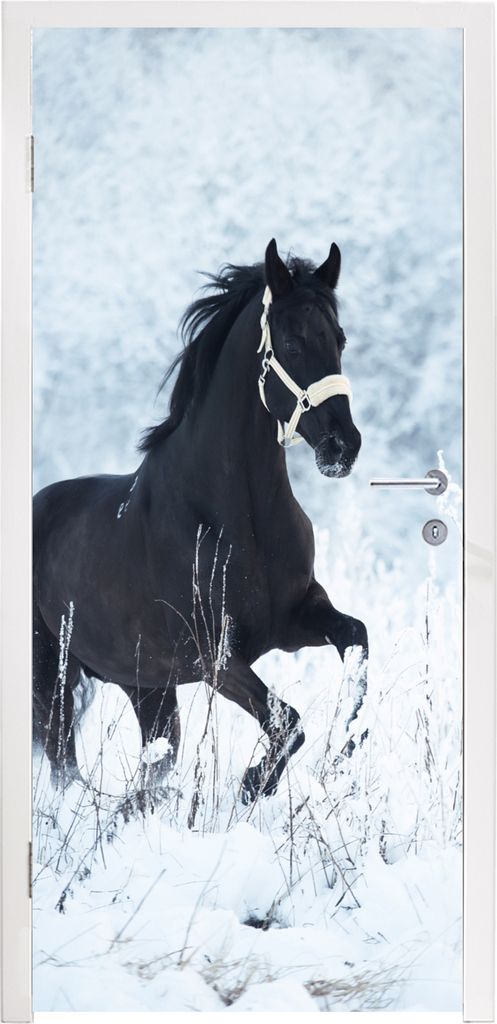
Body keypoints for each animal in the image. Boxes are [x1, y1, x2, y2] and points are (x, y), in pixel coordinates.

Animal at [33, 238, 368, 802]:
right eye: (293, 342)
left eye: (339, 338)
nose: (343, 447)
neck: (238, 517)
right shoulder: (214, 655)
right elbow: (287, 722)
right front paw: (254, 784)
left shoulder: (296, 619)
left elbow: (357, 641)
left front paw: (346, 749)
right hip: (52, 676)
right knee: (64, 765)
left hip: (147, 688)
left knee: (152, 762)